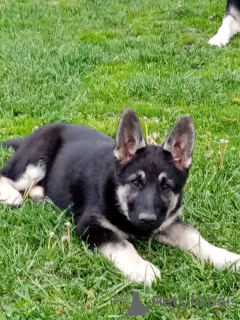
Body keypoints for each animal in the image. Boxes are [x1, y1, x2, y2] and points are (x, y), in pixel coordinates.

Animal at [0, 110, 240, 284]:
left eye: (165, 186)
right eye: (135, 183)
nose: (147, 220)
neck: (119, 198)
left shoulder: (168, 222)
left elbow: (194, 237)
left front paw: (226, 258)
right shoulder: (90, 226)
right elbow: (122, 245)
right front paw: (142, 268)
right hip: (34, 161)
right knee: (7, 175)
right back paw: (11, 196)